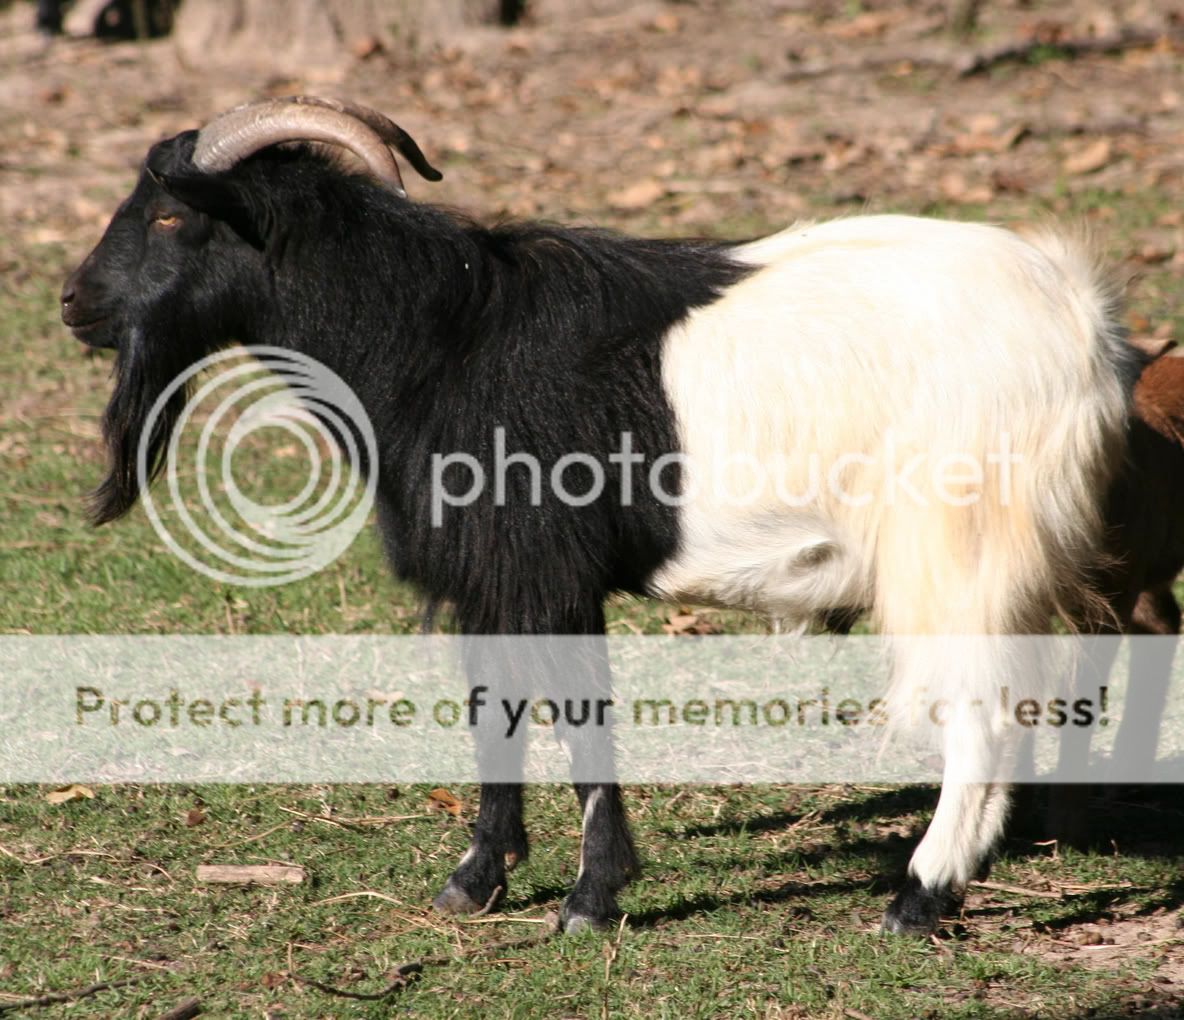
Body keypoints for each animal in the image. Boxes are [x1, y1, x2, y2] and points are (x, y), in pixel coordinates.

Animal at [64, 99, 1136, 933]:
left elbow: (578, 716)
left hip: (957, 549)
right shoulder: (489, 577)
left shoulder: (547, 570)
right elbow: (493, 711)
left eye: (171, 216)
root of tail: (1082, 326)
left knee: (983, 716)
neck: (442, 335)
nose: (75, 300)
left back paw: (917, 897)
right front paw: (477, 879)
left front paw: (591, 896)